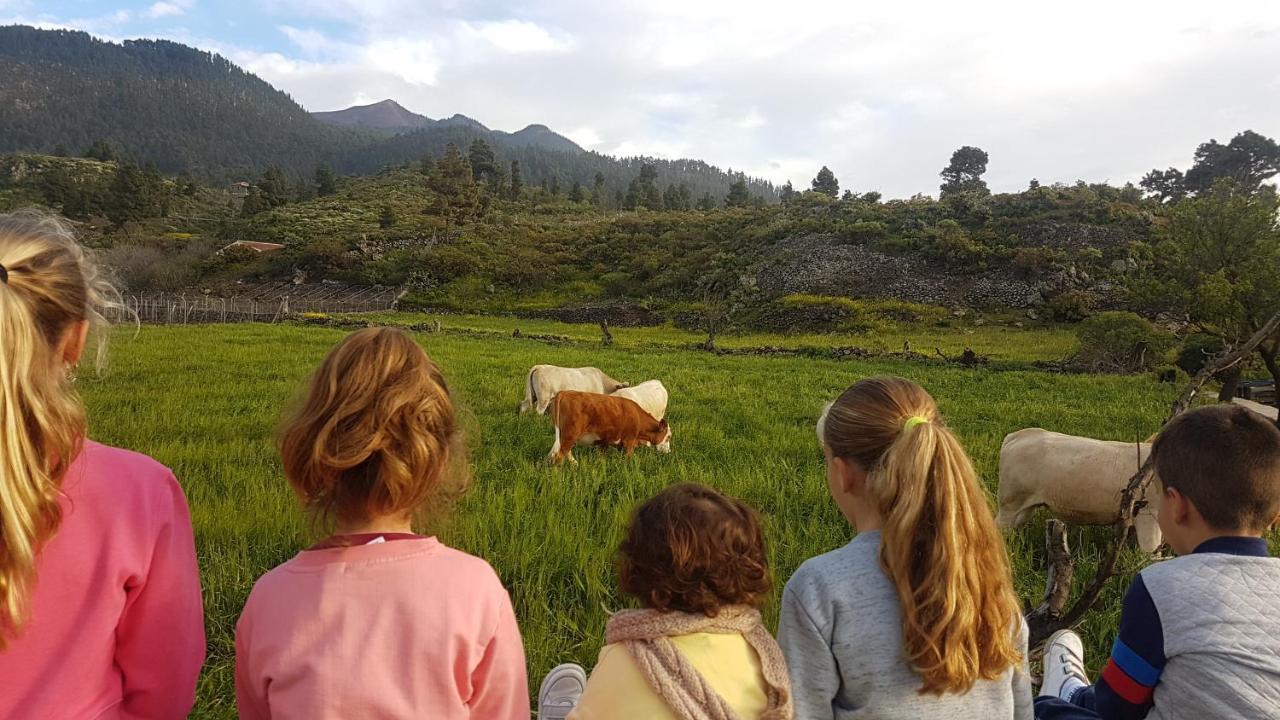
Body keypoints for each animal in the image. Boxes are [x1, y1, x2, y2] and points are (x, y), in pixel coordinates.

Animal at [547, 389, 675, 461]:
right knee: (559, 457)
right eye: (668, 437)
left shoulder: (604, 442)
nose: (669, 452)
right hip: (569, 435)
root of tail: (564, 392)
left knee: (566, 453)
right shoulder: (629, 441)